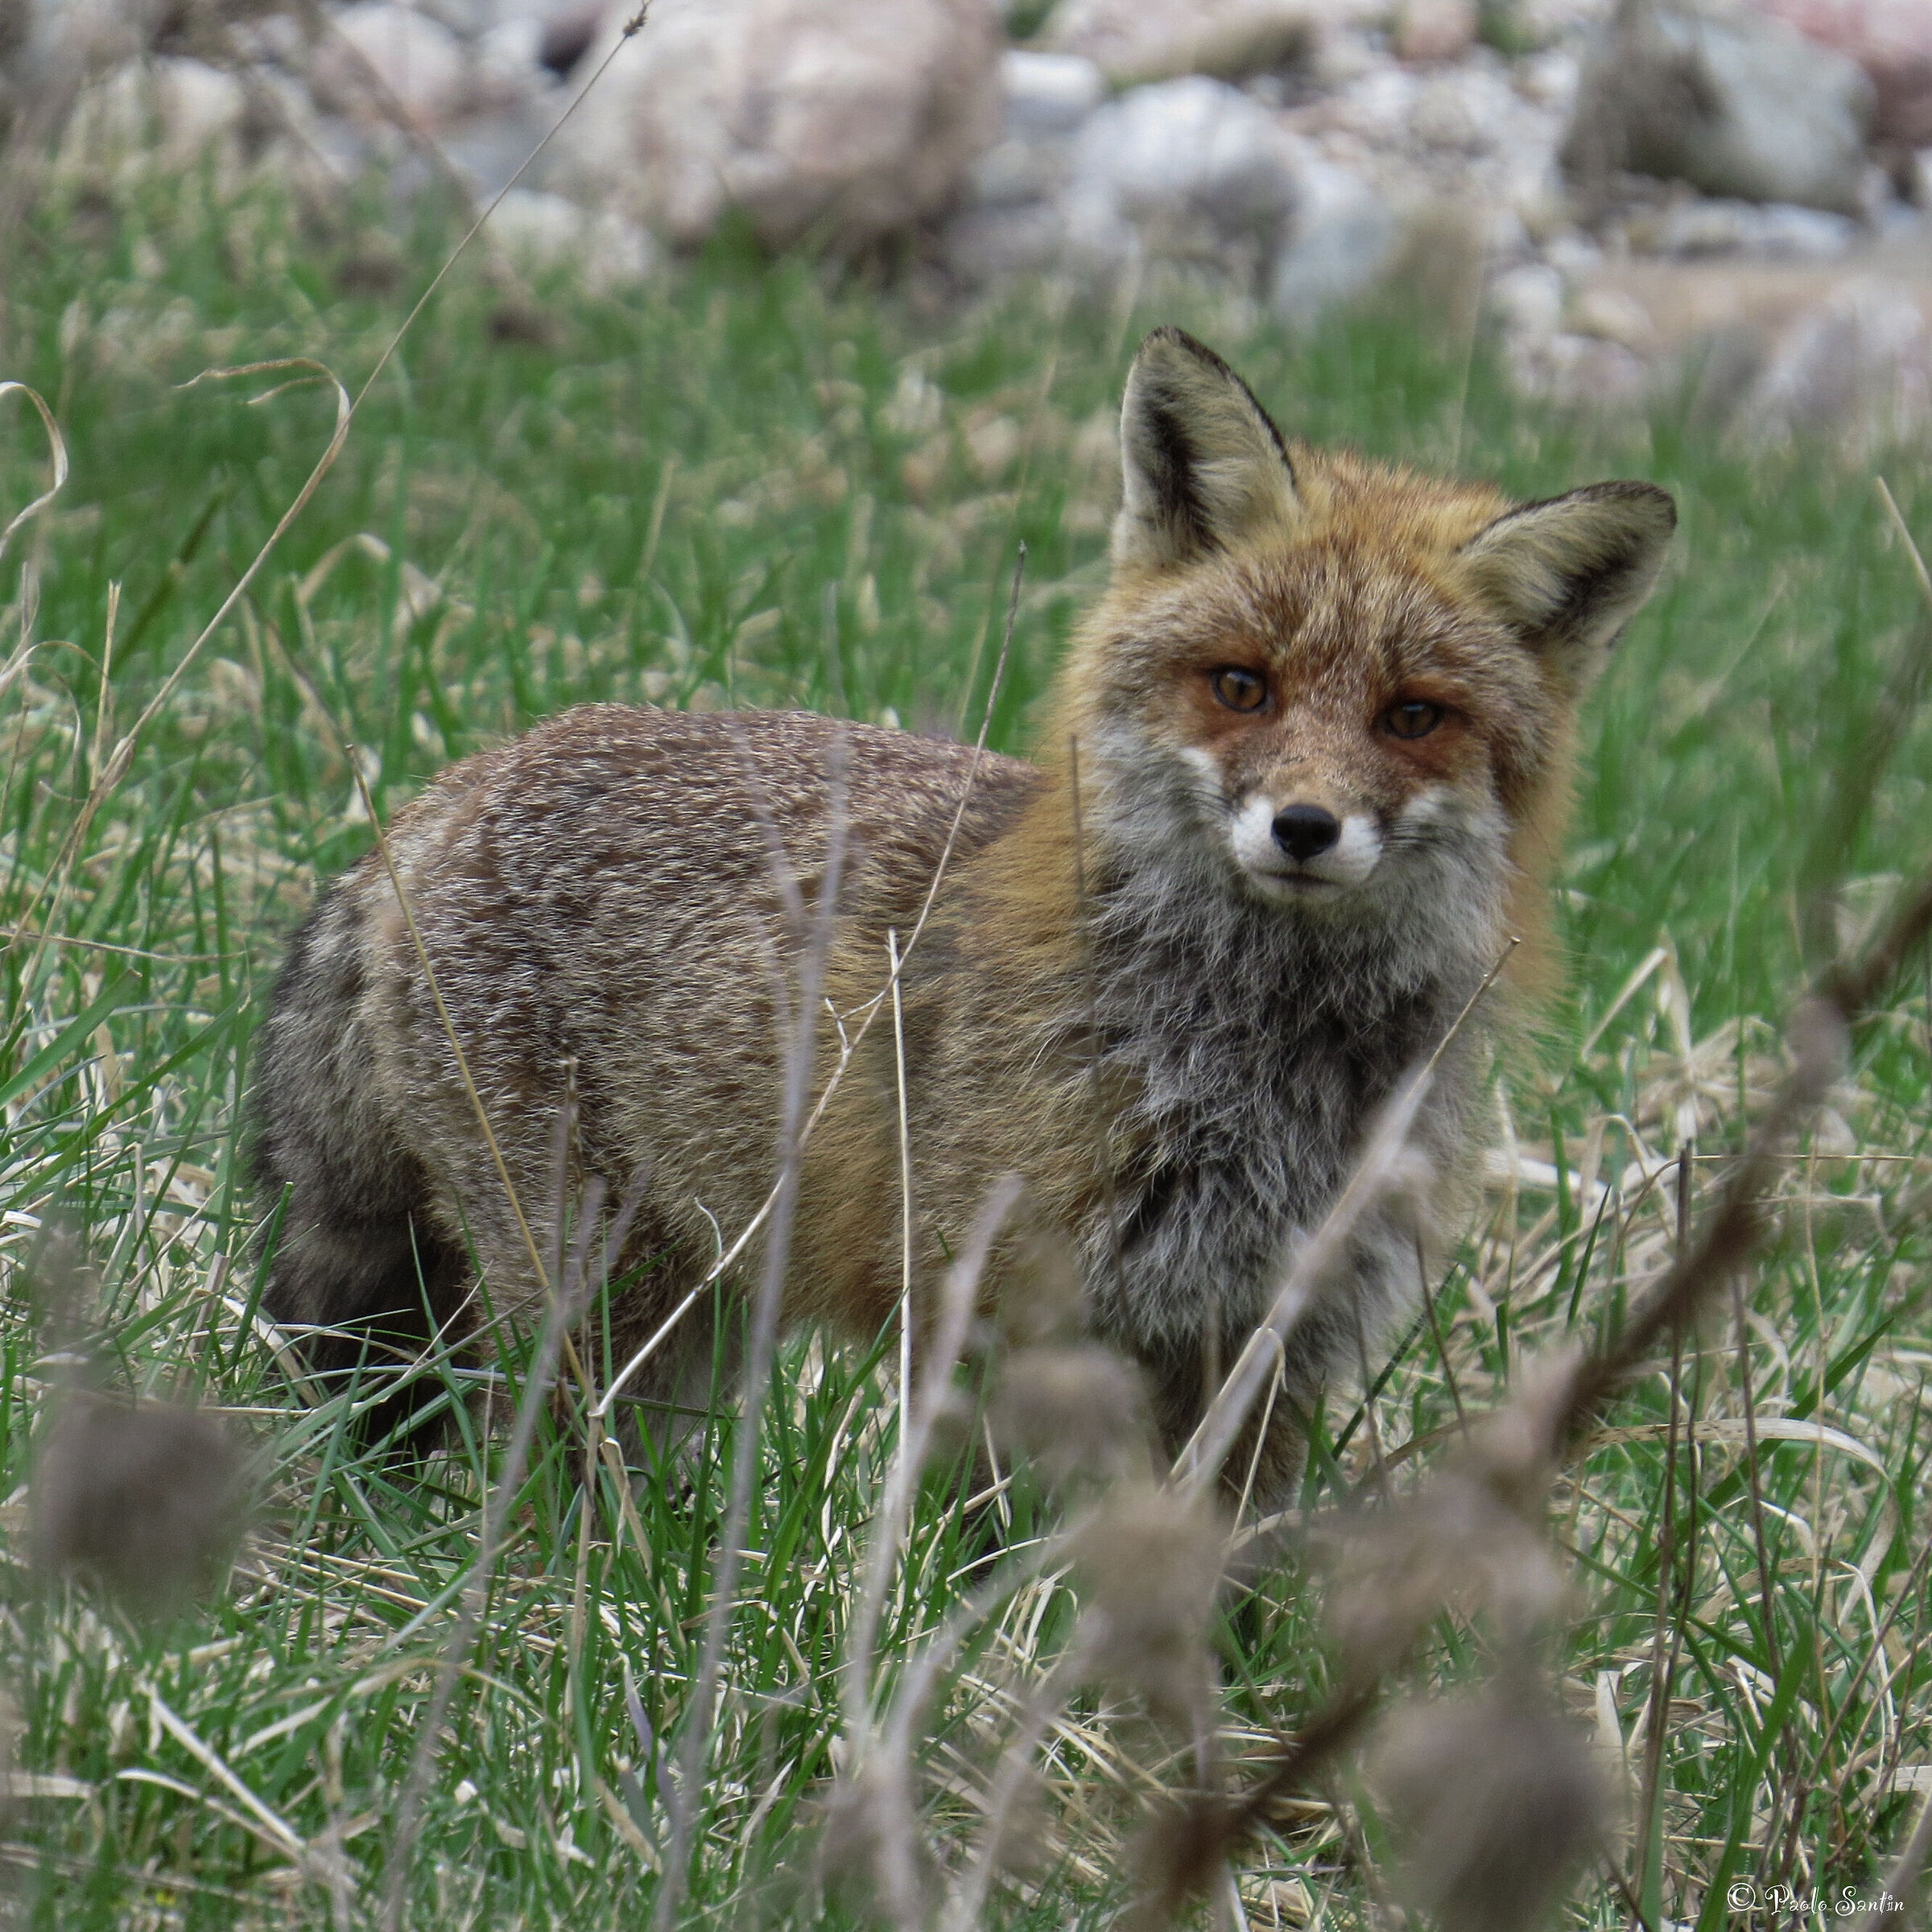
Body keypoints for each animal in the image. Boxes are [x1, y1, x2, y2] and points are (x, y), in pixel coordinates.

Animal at [250, 327, 1674, 1502]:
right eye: (1242, 687)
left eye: (1413, 715)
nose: (1307, 828)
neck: (1258, 1068)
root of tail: (447, 792)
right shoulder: (1000, 1306)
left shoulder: (1274, 1346)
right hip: (600, 1292)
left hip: (696, 1314)